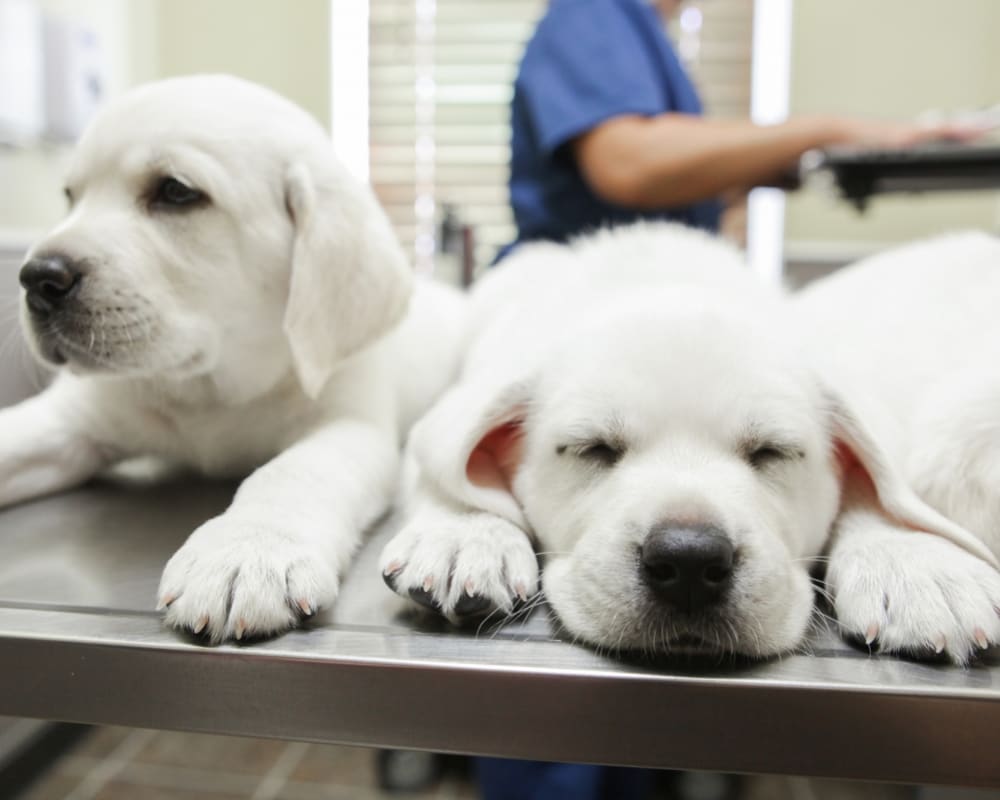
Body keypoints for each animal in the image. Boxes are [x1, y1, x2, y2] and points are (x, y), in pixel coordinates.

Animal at [0, 76, 464, 644]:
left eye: (176, 192)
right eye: (70, 197)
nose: (38, 278)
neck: (211, 389)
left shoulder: (351, 426)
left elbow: (292, 472)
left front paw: (247, 549)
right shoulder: (70, 420)